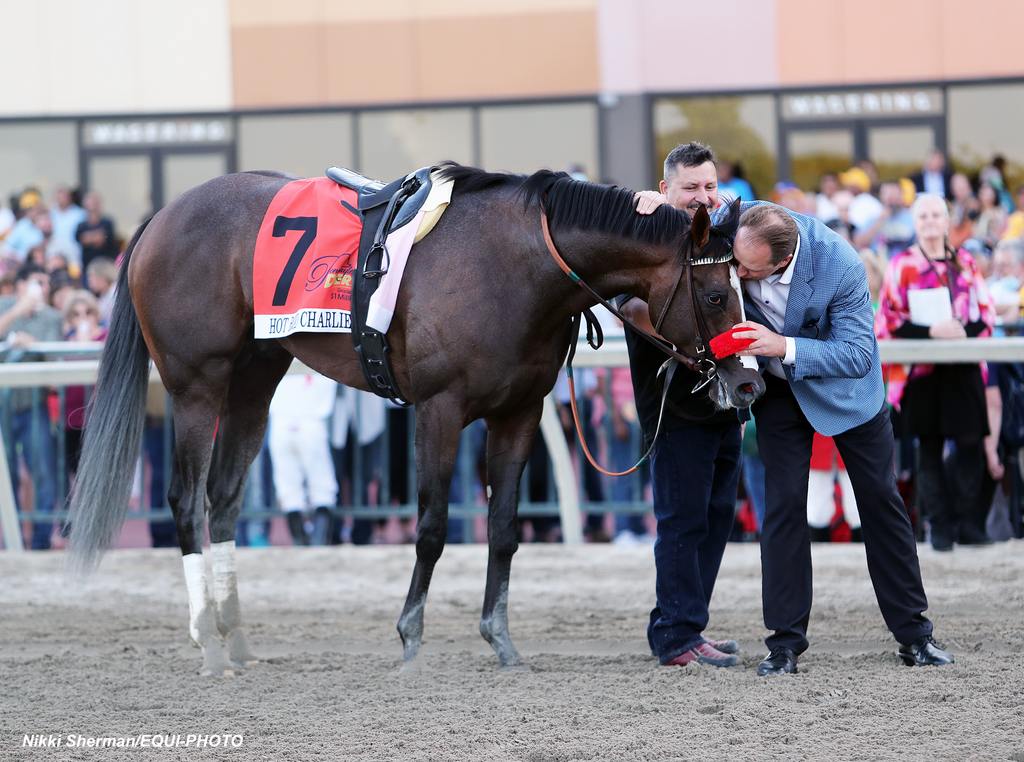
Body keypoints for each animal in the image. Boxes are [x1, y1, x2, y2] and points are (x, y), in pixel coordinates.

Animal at [68, 163, 765, 675]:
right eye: (714, 294)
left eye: (746, 288)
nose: (749, 382)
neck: (515, 263)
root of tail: (162, 216)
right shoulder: (439, 409)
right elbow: (430, 527)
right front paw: (409, 637)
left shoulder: (518, 413)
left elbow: (505, 529)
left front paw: (501, 640)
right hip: (196, 383)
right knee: (187, 500)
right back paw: (208, 644)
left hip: (253, 379)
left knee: (224, 499)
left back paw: (234, 637)